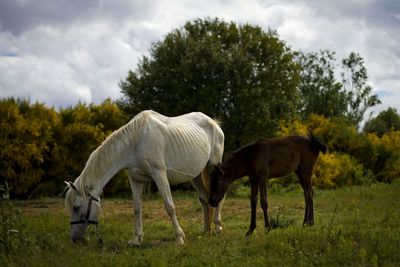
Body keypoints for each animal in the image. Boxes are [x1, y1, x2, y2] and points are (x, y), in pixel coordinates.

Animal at [64, 110, 223, 246]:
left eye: (76, 207)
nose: (75, 240)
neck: (134, 142)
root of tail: (213, 122)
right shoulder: (135, 180)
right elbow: (136, 208)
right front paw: (136, 239)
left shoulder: (159, 175)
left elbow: (170, 207)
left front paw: (179, 238)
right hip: (196, 175)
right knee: (204, 198)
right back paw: (206, 231)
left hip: (214, 167)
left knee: (218, 195)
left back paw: (218, 228)